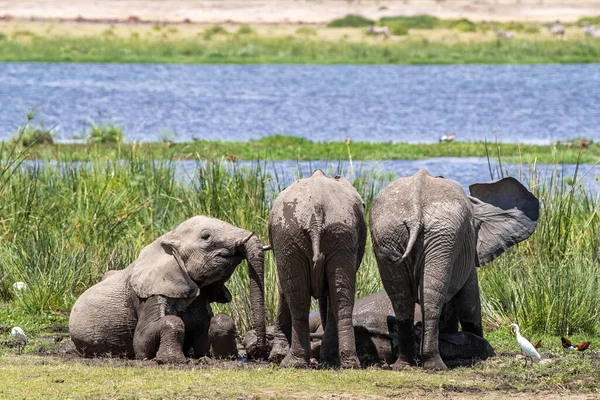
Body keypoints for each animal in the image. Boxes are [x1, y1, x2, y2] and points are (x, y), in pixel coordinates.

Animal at [68, 216, 268, 362]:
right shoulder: (148, 296)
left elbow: (213, 330)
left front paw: (225, 357)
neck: (168, 238)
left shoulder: (199, 297)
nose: (257, 352)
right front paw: (172, 360)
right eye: (206, 236)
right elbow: (142, 343)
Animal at [268, 170, 370, 368]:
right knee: (338, 297)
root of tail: (316, 215)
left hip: (301, 235)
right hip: (326, 234)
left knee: (304, 298)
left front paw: (276, 357)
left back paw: (295, 363)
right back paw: (346, 363)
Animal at [370, 170, 540, 370]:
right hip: (442, 237)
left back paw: (404, 364)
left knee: (402, 298)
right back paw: (436, 365)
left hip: (391, 233)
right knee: (433, 299)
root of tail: (415, 214)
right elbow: (469, 303)